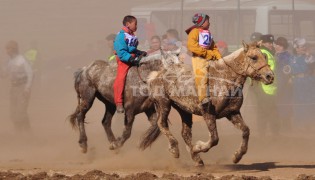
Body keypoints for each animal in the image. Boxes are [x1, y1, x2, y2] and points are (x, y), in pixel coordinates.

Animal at [141, 40, 276, 166]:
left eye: (264, 56)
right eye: (254, 57)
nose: (270, 76)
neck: (225, 79)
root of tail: (157, 74)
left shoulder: (232, 113)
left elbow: (246, 131)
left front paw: (237, 156)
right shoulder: (208, 113)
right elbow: (214, 138)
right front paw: (197, 147)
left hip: (184, 109)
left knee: (185, 133)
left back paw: (197, 159)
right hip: (163, 103)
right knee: (162, 123)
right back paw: (175, 149)